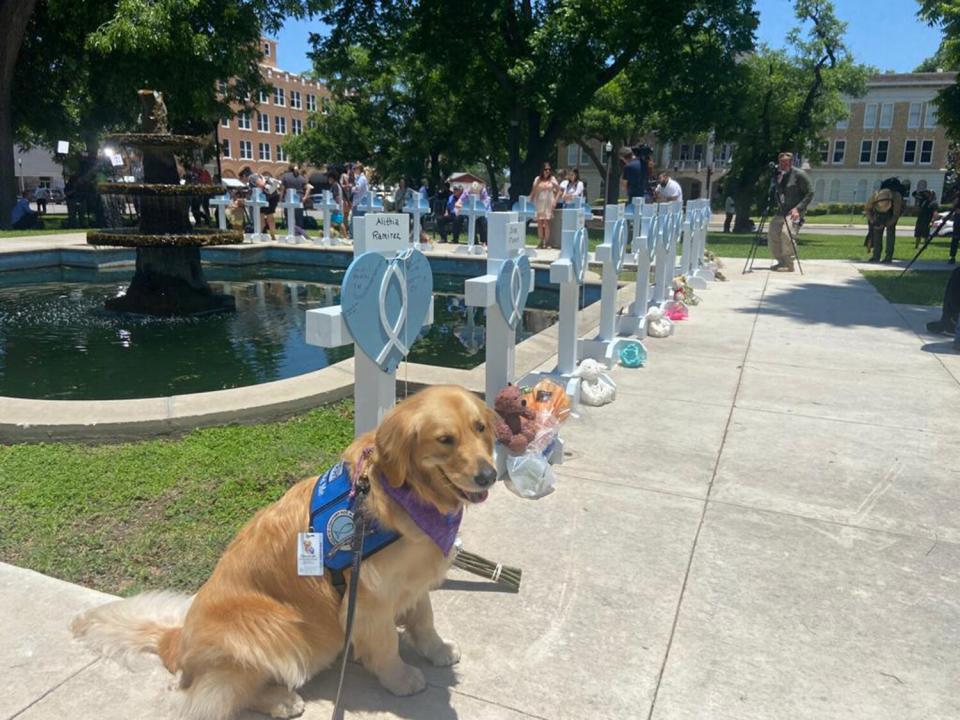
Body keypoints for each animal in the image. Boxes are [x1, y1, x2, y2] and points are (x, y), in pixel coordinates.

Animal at [71, 386, 498, 720]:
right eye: (445, 439)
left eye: (479, 428)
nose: (490, 475)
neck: (407, 494)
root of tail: (176, 643)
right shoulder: (369, 597)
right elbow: (386, 644)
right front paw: (401, 677)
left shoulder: (412, 580)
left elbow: (424, 619)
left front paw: (438, 650)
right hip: (274, 629)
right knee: (210, 700)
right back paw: (280, 700)